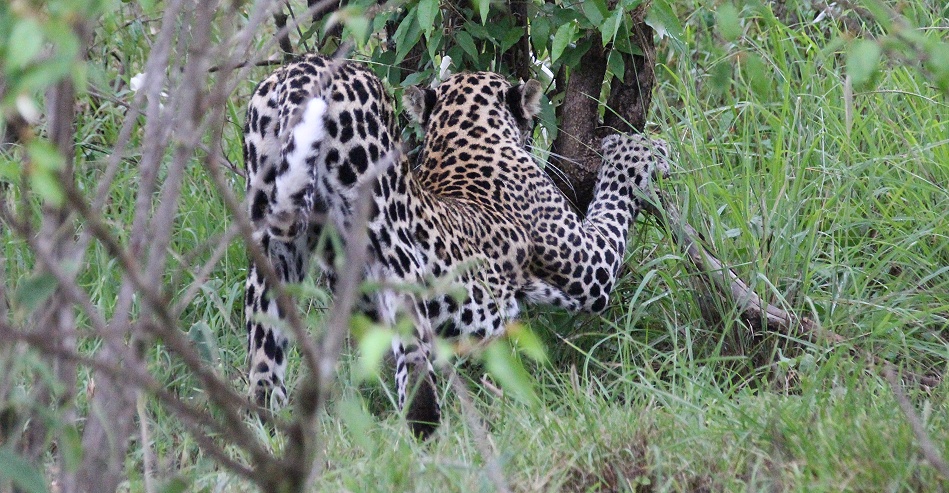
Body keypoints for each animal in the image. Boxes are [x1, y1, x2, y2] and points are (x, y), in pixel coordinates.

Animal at [241, 53, 669, 439]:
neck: (463, 130)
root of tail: (301, 69)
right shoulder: (591, 269)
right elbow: (614, 198)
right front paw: (637, 151)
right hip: (389, 238)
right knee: (413, 363)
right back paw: (430, 437)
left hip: (270, 247)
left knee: (263, 365)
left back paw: (269, 431)